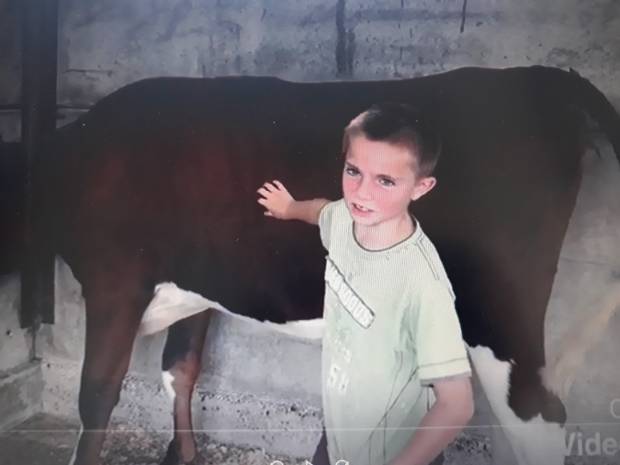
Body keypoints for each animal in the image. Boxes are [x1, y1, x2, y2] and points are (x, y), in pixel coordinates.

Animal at [10, 66, 620, 464]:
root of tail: (542, 78)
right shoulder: (198, 284)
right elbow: (179, 371)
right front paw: (180, 456)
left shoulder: (114, 281)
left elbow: (96, 395)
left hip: (502, 313)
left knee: (537, 416)